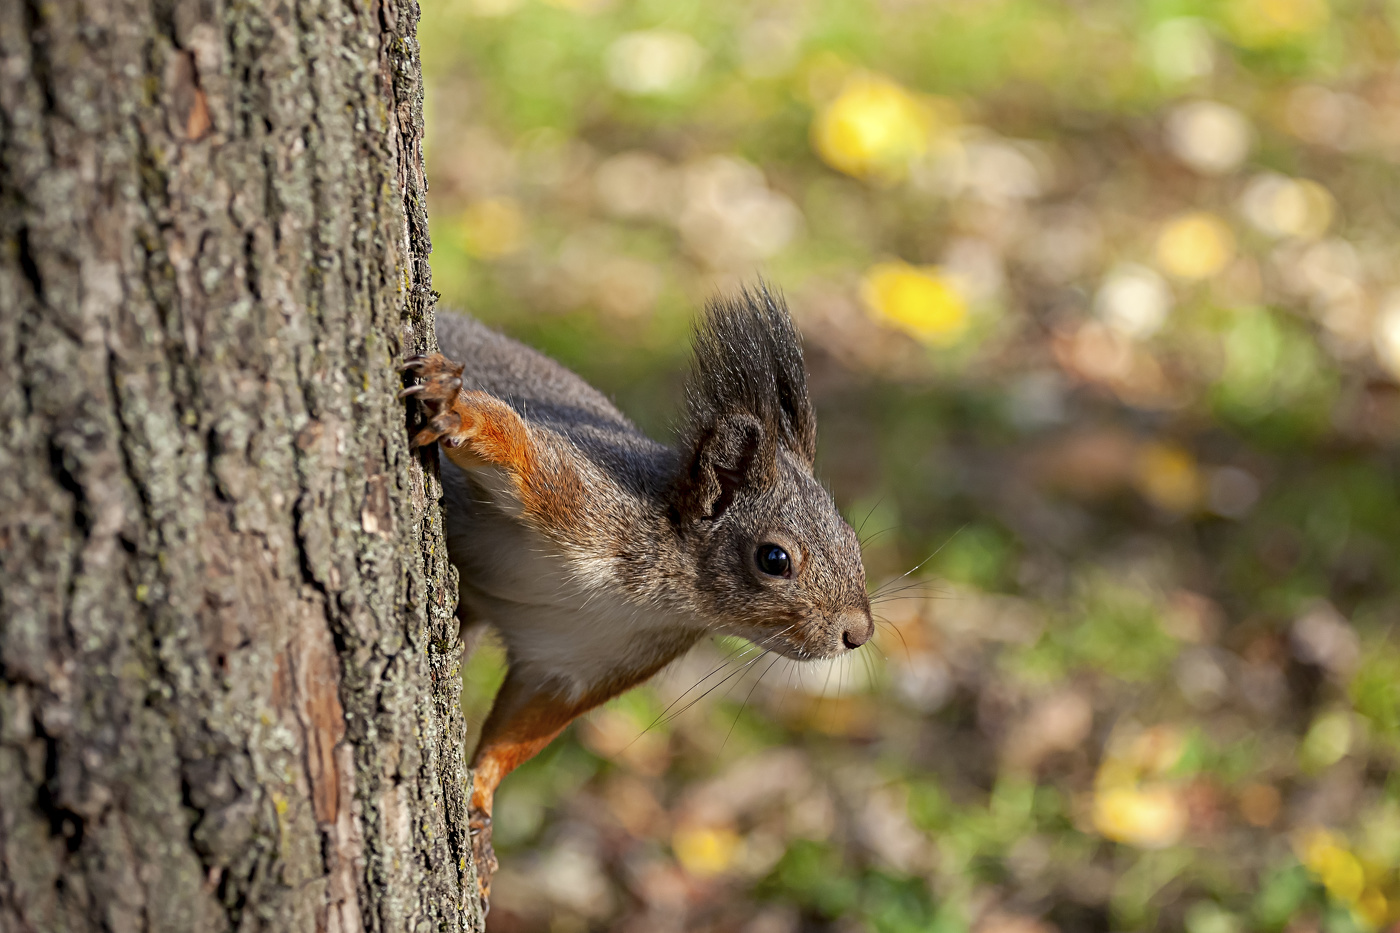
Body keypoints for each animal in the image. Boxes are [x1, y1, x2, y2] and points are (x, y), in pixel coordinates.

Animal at [400, 285, 868, 902]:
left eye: (853, 539)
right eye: (775, 559)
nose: (858, 633)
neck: (651, 600)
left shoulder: (585, 659)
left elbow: (522, 727)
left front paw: (479, 800)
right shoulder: (585, 497)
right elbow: (521, 452)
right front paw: (456, 408)